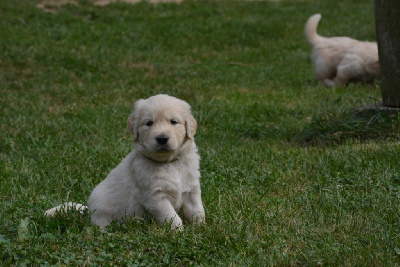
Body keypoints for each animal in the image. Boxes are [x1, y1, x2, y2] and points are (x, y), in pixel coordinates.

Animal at [45, 94, 205, 230]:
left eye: (174, 122)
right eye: (149, 123)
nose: (162, 138)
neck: (169, 163)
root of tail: (88, 211)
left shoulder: (192, 190)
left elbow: (197, 210)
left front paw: (201, 229)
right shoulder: (155, 197)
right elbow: (171, 216)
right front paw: (179, 232)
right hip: (100, 207)